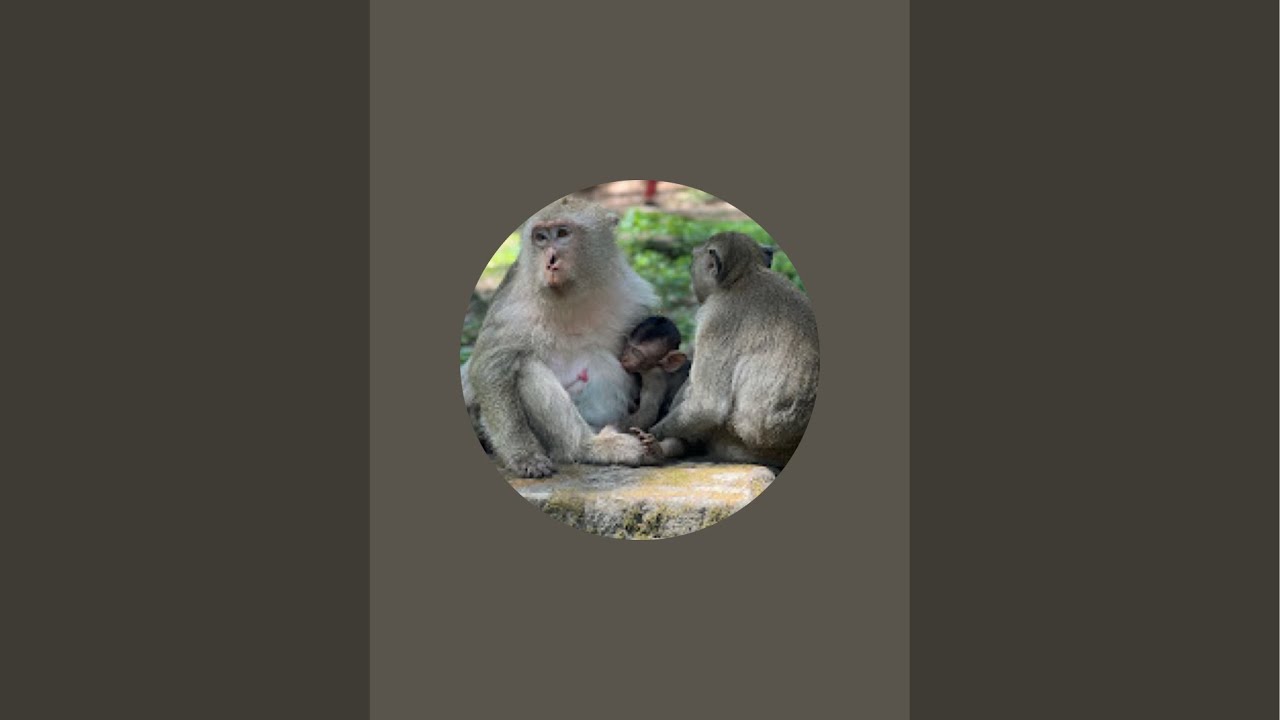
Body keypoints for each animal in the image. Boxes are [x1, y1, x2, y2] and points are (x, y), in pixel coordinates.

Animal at [462, 195, 662, 477]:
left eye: (563, 233)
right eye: (541, 237)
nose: (551, 259)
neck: (570, 297)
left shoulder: (635, 298)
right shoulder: (512, 307)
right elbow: (489, 369)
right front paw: (525, 456)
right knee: (526, 368)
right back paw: (588, 447)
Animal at [636, 232, 819, 469]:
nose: (691, 270)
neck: (744, 276)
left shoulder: (714, 317)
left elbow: (708, 405)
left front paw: (654, 433)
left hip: (738, 442)